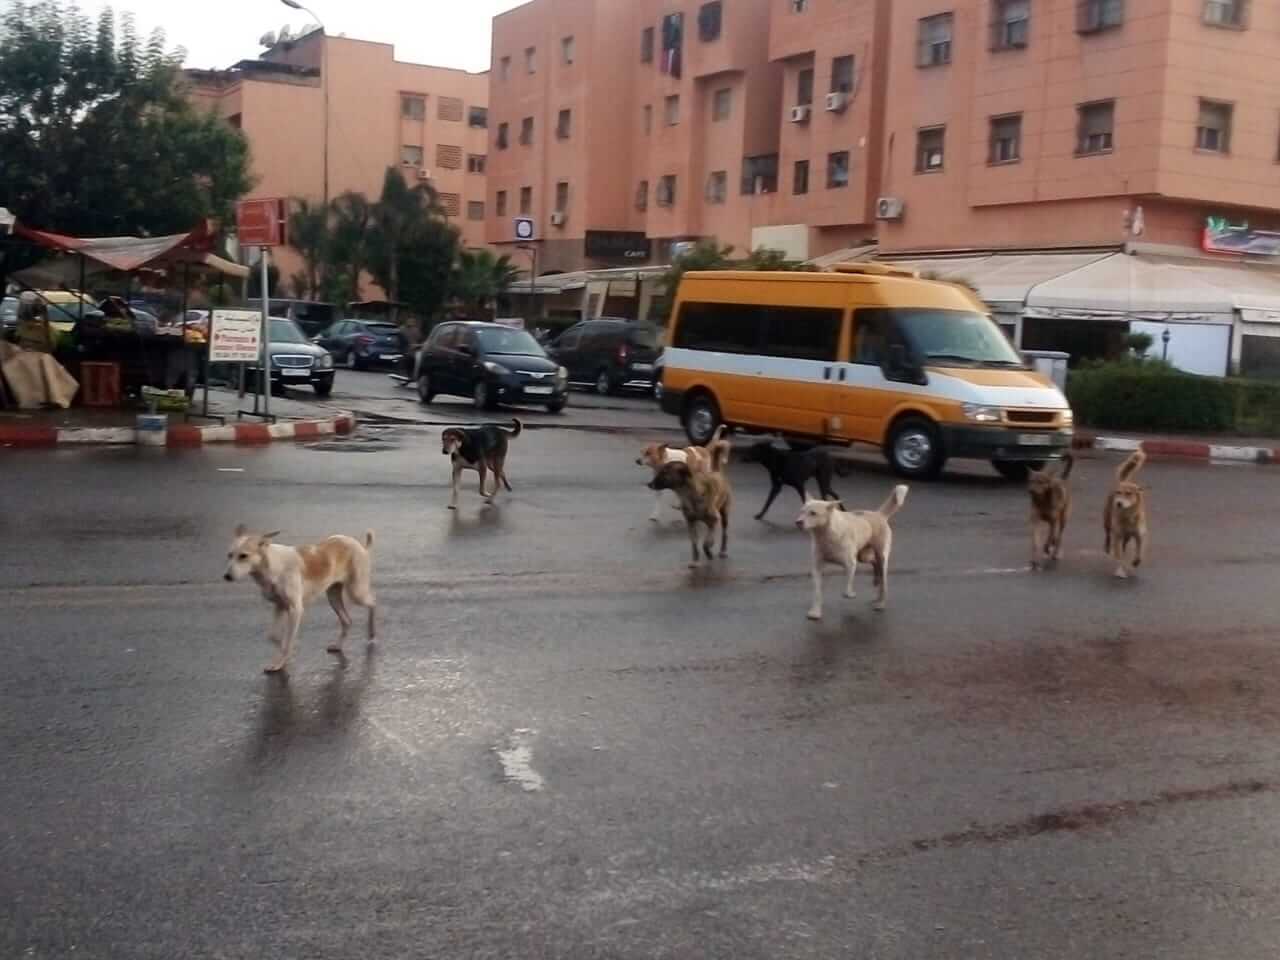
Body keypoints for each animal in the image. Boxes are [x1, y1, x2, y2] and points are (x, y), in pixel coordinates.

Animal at [224, 525, 377, 674]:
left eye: (243, 556)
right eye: (229, 555)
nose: (226, 576)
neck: (272, 565)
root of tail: (360, 546)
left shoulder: (295, 610)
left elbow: (286, 641)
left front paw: (280, 662)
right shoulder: (280, 606)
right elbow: (274, 636)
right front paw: (284, 655)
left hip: (356, 593)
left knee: (373, 603)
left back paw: (372, 633)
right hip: (333, 598)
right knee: (347, 621)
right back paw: (338, 645)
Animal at [797, 485, 908, 621]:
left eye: (813, 513)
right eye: (801, 511)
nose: (798, 522)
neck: (825, 534)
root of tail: (879, 514)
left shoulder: (850, 564)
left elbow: (847, 588)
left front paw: (850, 594)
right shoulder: (817, 567)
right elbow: (817, 592)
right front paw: (815, 612)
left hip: (880, 557)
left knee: (883, 581)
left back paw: (881, 603)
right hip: (863, 556)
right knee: (874, 563)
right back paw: (876, 580)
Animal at [1104, 449, 1148, 579]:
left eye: (1128, 494)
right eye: (1118, 493)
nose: (1118, 503)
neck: (1128, 516)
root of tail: (1124, 481)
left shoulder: (1140, 536)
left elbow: (1139, 551)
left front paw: (1136, 561)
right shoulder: (1118, 535)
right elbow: (1119, 556)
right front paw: (1120, 571)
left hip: (1127, 537)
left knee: (1124, 545)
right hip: (1107, 522)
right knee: (1108, 536)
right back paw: (1107, 547)